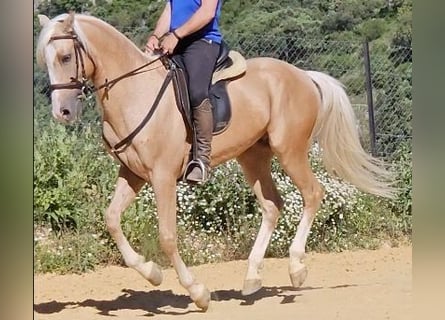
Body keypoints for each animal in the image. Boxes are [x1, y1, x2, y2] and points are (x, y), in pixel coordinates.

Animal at [36, 12, 394, 310]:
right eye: (46, 62)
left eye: (66, 57)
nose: (62, 112)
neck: (135, 91)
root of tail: (302, 75)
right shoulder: (132, 173)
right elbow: (111, 219)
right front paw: (152, 273)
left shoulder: (162, 177)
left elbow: (167, 236)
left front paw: (198, 292)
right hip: (253, 157)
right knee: (272, 205)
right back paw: (252, 278)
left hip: (289, 150)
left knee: (312, 194)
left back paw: (296, 268)